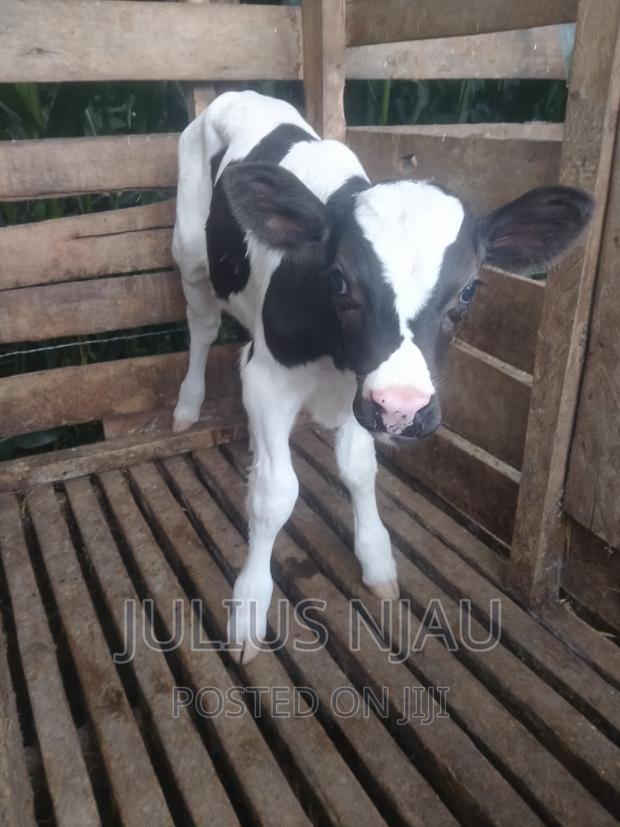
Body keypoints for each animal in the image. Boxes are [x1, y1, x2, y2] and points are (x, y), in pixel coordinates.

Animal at [172, 91, 592, 663]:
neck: (334, 355)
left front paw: (376, 559)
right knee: (201, 325)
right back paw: (187, 406)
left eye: (469, 290)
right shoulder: (270, 379)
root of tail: (241, 94)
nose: (403, 407)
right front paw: (249, 608)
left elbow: (359, 469)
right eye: (339, 280)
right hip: (190, 250)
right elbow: (276, 495)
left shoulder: (363, 390)